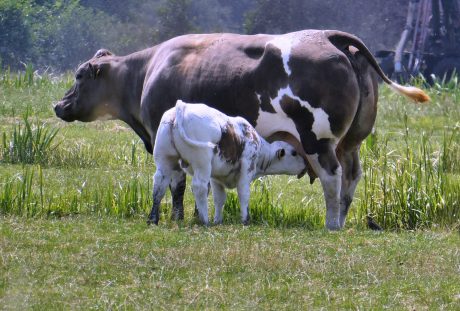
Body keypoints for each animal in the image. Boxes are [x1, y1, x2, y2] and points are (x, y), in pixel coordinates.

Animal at [150, 101, 310, 225]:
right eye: (294, 153)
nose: (305, 165)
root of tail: (182, 107)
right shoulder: (247, 169)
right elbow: (243, 194)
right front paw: (245, 219)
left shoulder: (216, 177)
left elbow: (219, 198)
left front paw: (218, 220)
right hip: (202, 163)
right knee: (199, 187)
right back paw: (204, 220)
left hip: (164, 160)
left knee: (159, 185)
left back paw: (152, 219)